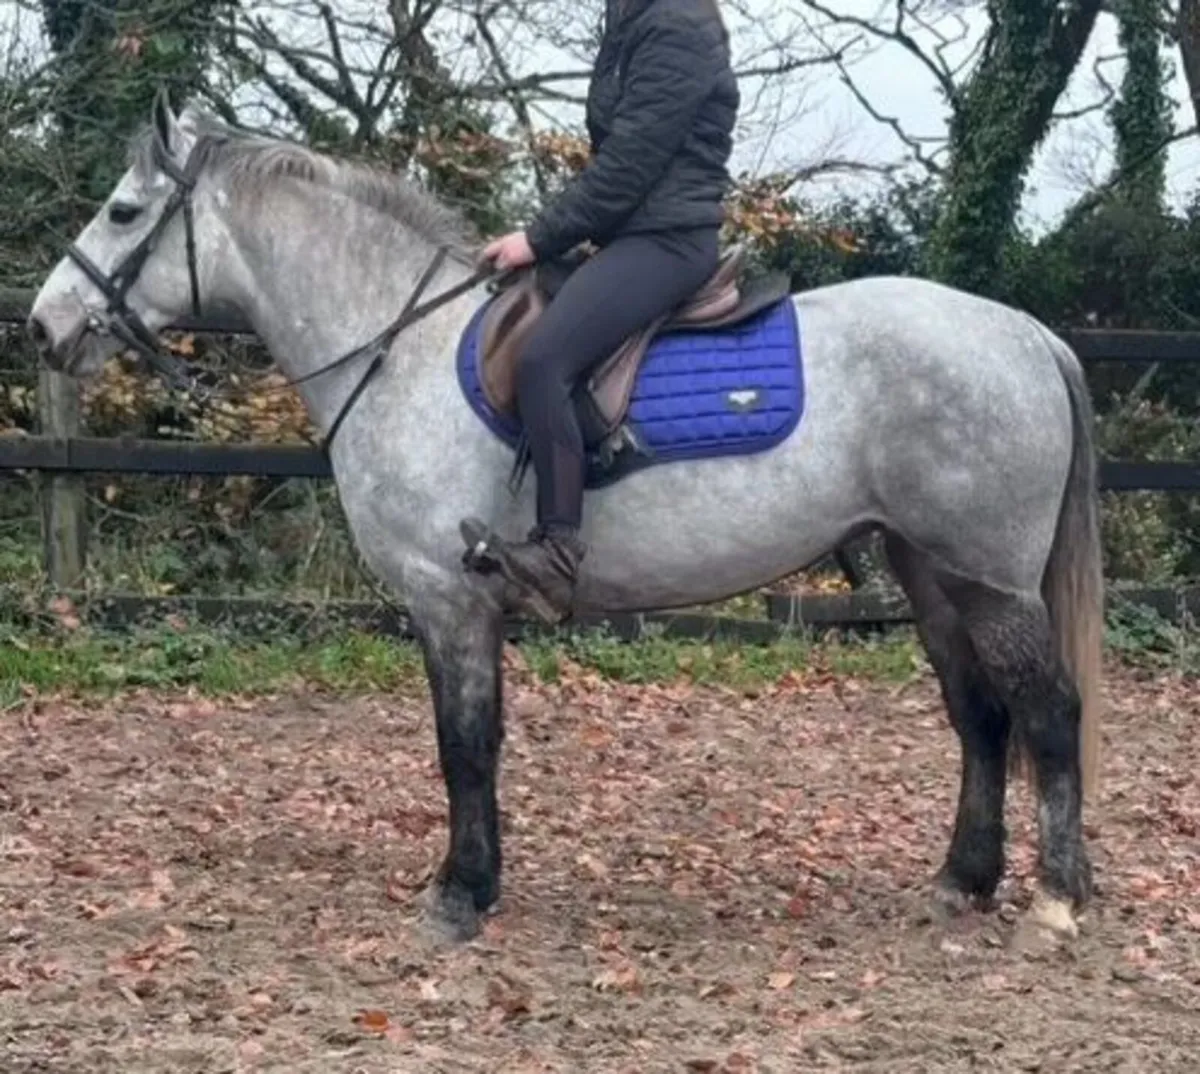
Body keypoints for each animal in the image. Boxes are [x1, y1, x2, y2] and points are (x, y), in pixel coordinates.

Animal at [28, 93, 1103, 943]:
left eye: (124, 211)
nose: (44, 325)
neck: (400, 347)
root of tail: (1024, 333)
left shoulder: (449, 600)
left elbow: (462, 743)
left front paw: (459, 896)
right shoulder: (458, 607)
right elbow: (475, 741)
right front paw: (476, 881)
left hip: (989, 579)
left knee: (1048, 713)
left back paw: (1055, 902)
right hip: (930, 571)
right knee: (978, 716)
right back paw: (963, 882)